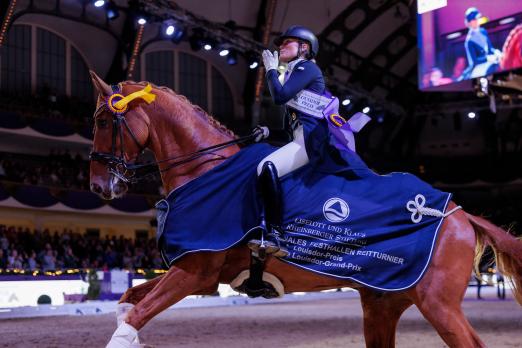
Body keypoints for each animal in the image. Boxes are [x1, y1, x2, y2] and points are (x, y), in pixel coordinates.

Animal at [89, 71, 520, 348]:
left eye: (103, 121)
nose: (98, 185)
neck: (205, 170)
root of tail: (458, 213)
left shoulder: (195, 272)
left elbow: (132, 317)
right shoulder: (197, 277)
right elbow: (128, 301)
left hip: (437, 304)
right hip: (383, 302)